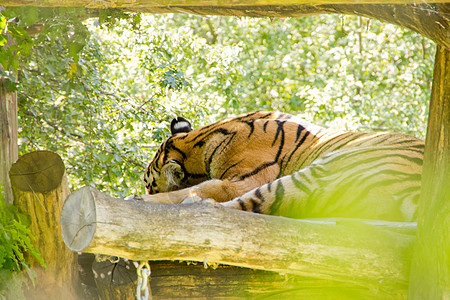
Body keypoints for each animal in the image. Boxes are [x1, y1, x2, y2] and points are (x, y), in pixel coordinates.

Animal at [133, 111, 422, 221]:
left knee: (243, 205)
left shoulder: (243, 180)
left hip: (322, 170)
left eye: (150, 185)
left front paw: (140, 198)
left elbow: (200, 189)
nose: (145, 192)